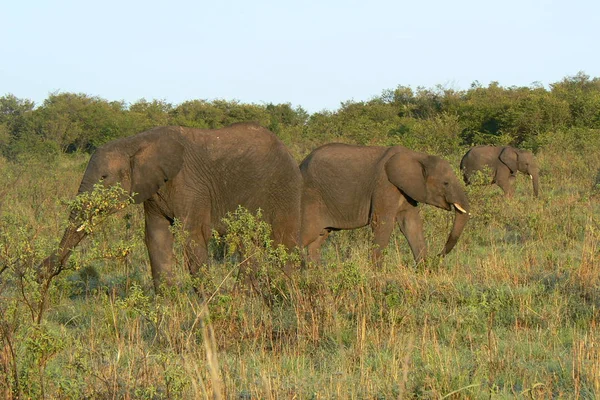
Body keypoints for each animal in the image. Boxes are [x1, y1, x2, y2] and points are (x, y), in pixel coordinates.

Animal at [38, 122, 302, 290]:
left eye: (104, 178)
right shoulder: (153, 189)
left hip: (283, 190)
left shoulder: (191, 186)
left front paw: (208, 305)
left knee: (281, 243)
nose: (42, 271)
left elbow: (193, 236)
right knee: (250, 243)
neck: (135, 143)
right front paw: (168, 303)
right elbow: (156, 236)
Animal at [298, 144, 468, 266]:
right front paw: (376, 273)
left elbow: (411, 224)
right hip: (309, 198)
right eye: (446, 183)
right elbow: (382, 223)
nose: (438, 256)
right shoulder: (385, 185)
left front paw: (425, 270)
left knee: (317, 240)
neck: (418, 156)